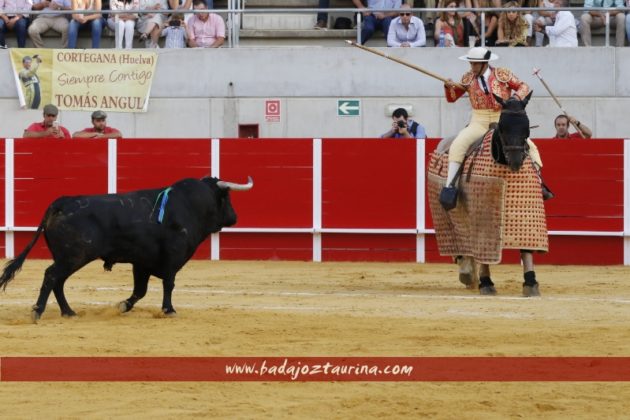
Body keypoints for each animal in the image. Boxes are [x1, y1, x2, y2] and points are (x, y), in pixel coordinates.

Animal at [0, 176, 254, 320]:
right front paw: (169, 310)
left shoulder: (142, 263)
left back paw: (69, 312)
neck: (190, 206)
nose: (234, 217)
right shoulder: (172, 258)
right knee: (52, 276)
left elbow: (140, 290)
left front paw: (123, 306)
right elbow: (168, 284)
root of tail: (61, 202)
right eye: (227, 197)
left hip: (68, 258)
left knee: (58, 281)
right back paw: (38, 311)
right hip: (74, 256)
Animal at [428, 92, 552, 296]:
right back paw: (467, 273)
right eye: (502, 127)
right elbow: (483, 248)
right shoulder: (482, 215)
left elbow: (526, 249)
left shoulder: (527, 213)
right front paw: (486, 282)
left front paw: (531, 282)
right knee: (461, 245)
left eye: (527, 128)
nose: (516, 161)